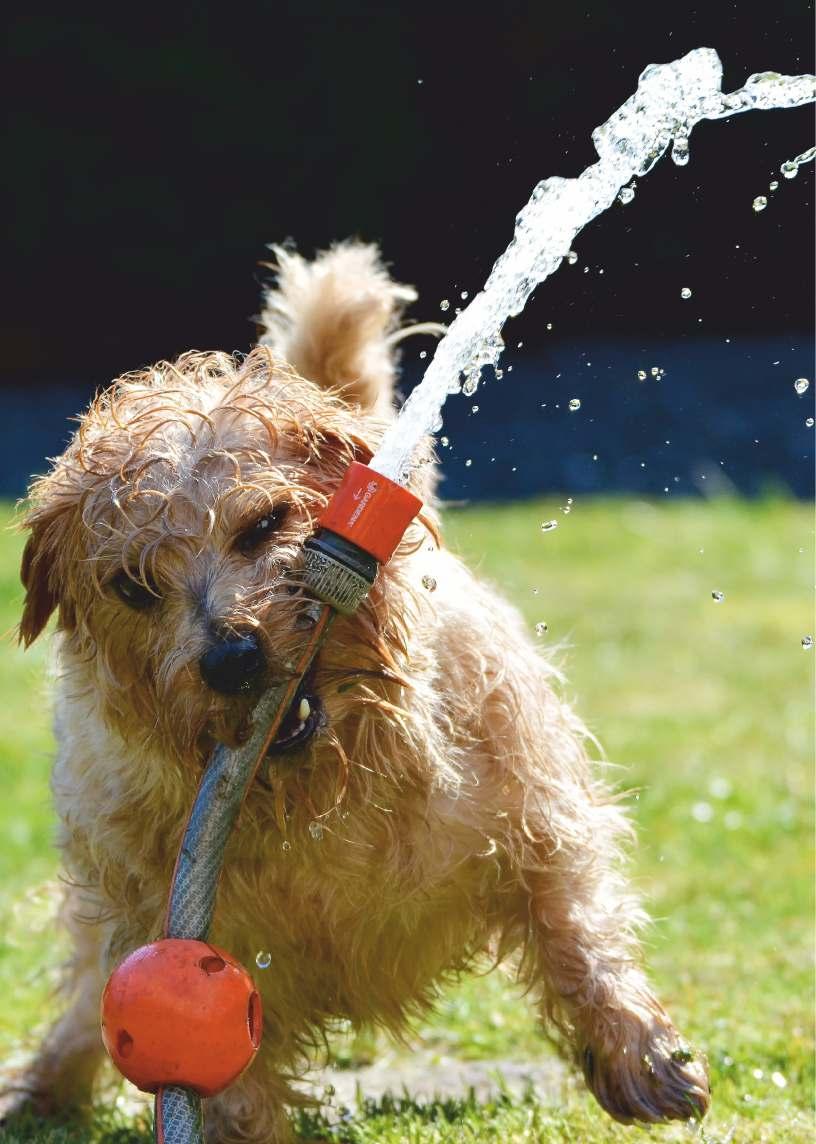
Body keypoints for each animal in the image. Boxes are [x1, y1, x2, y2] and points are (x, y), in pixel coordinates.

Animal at [7, 245, 704, 1139]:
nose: (232, 657)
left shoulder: (536, 814)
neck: (326, 792)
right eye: (132, 586)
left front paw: (640, 1054)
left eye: (265, 524)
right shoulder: (180, 925)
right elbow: (226, 1072)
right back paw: (44, 1084)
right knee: (85, 990)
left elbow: (575, 926)